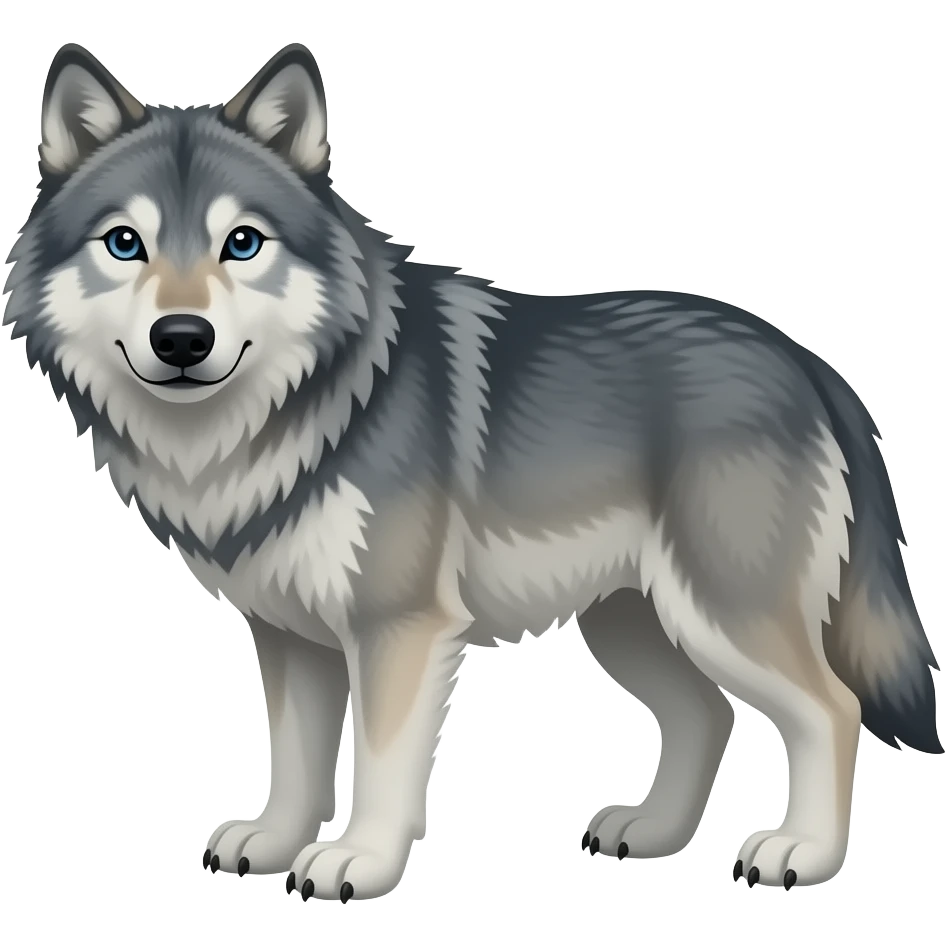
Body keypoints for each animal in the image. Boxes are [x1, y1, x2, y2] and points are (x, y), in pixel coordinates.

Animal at [1, 42, 941, 903]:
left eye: (242, 243)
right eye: (126, 243)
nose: (182, 338)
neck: (296, 412)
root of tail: (806, 362)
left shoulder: (399, 627)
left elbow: (382, 761)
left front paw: (358, 861)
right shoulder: (291, 636)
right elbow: (296, 760)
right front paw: (272, 842)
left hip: (720, 612)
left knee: (831, 708)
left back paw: (800, 853)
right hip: (633, 621)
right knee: (705, 713)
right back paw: (651, 832)